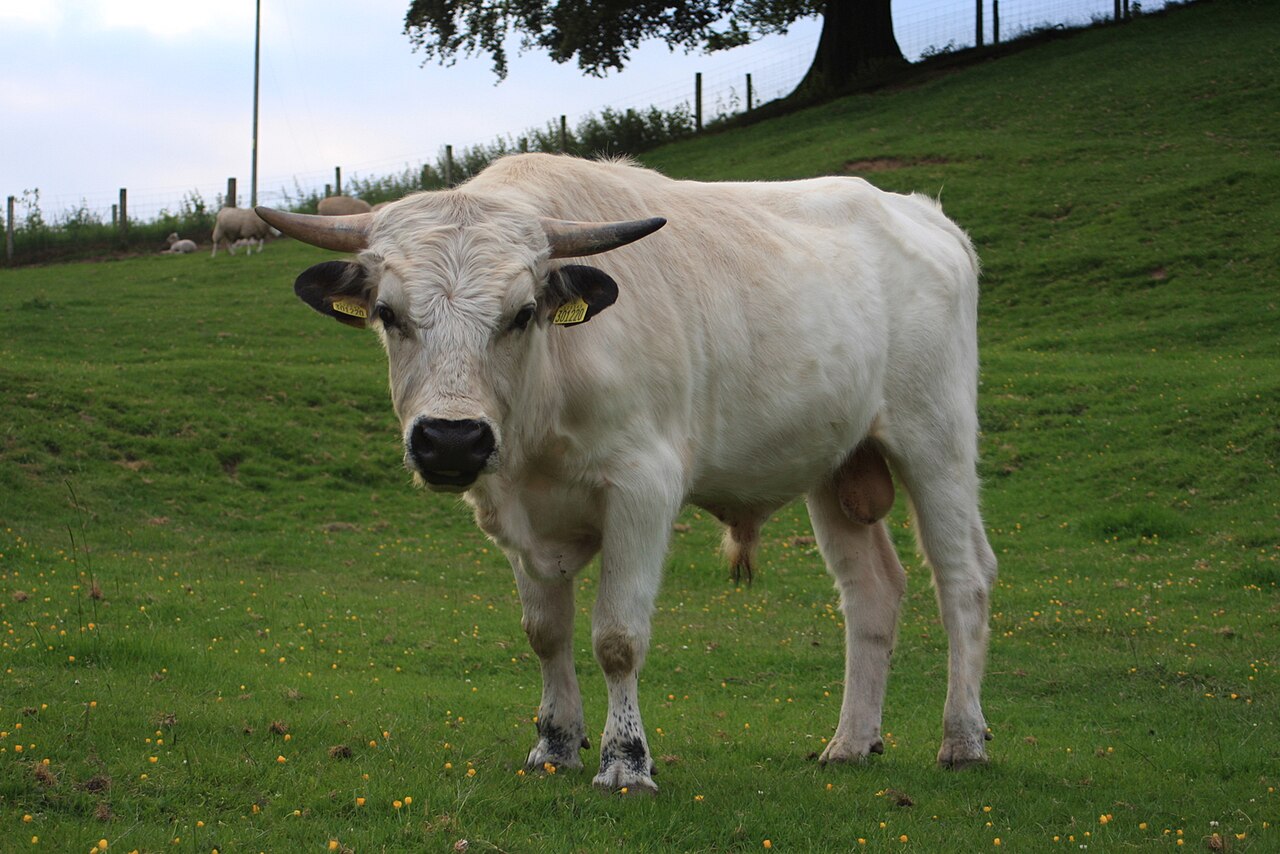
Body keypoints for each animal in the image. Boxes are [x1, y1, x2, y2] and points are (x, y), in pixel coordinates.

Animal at [257, 153, 997, 794]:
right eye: (388, 314)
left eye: (522, 314)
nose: (450, 440)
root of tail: (923, 215)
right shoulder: (511, 510)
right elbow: (545, 632)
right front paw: (554, 744)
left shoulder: (644, 489)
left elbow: (617, 636)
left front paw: (626, 761)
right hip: (837, 465)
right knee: (871, 592)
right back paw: (850, 743)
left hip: (937, 440)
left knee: (962, 580)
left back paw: (963, 739)